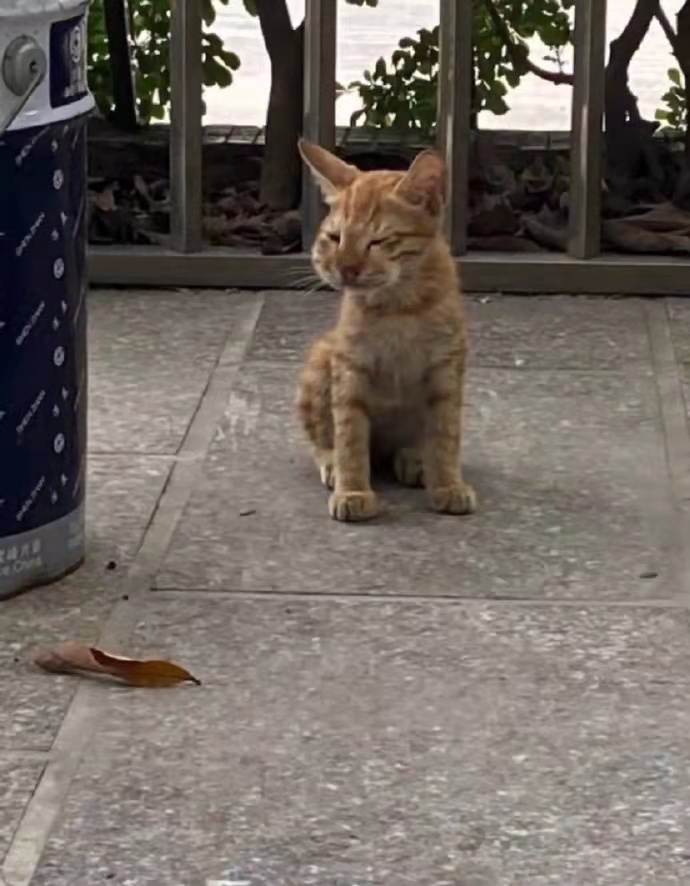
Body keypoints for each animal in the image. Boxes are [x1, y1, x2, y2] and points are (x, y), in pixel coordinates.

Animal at [295, 138, 476, 523]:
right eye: (334, 237)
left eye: (377, 241)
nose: (346, 268)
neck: (399, 306)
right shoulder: (350, 367)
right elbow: (349, 436)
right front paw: (353, 489)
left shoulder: (446, 367)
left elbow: (445, 434)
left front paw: (448, 484)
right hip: (321, 359)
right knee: (323, 439)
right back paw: (332, 462)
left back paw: (415, 458)